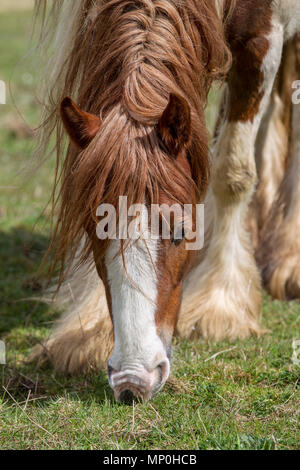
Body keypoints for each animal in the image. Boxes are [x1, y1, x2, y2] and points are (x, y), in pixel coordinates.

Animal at [32, 0, 300, 404]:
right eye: (93, 237)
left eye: (181, 232)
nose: (132, 380)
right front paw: (91, 329)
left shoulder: (258, 36)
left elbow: (231, 172)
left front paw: (221, 304)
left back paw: (288, 259)